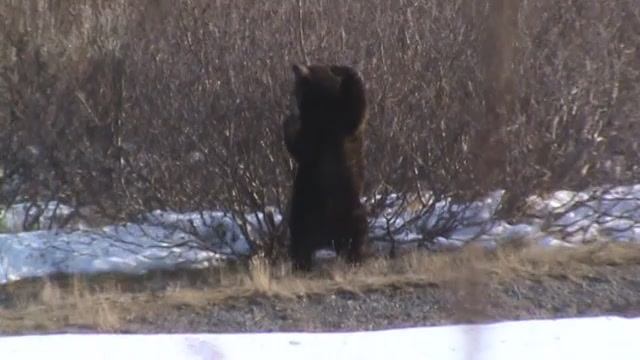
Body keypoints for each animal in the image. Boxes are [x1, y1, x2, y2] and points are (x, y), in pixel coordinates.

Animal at [282, 64, 368, 270]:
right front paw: (288, 121)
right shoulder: (312, 131)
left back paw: (355, 256)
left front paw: (350, 73)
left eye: (313, 66)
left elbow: (357, 111)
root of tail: (329, 238)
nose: (295, 66)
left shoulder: (341, 124)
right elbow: (301, 146)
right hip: (304, 208)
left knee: (359, 229)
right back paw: (302, 263)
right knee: (299, 237)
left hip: (350, 207)